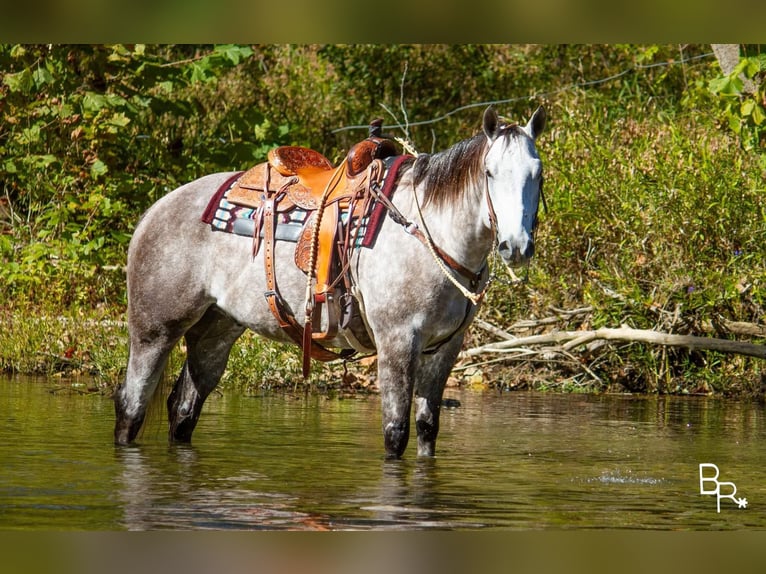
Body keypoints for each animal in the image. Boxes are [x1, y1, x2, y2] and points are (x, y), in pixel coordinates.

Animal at [112, 106, 544, 462]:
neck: (431, 235)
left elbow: (426, 429)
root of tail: (155, 210)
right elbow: (395, 433)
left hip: (215, 332)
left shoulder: (445, 348)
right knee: (131, 406)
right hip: (154, 331)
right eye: (489, 173)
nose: (515, 246)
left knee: (183, 410)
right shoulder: (397, 340)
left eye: (537, 174)